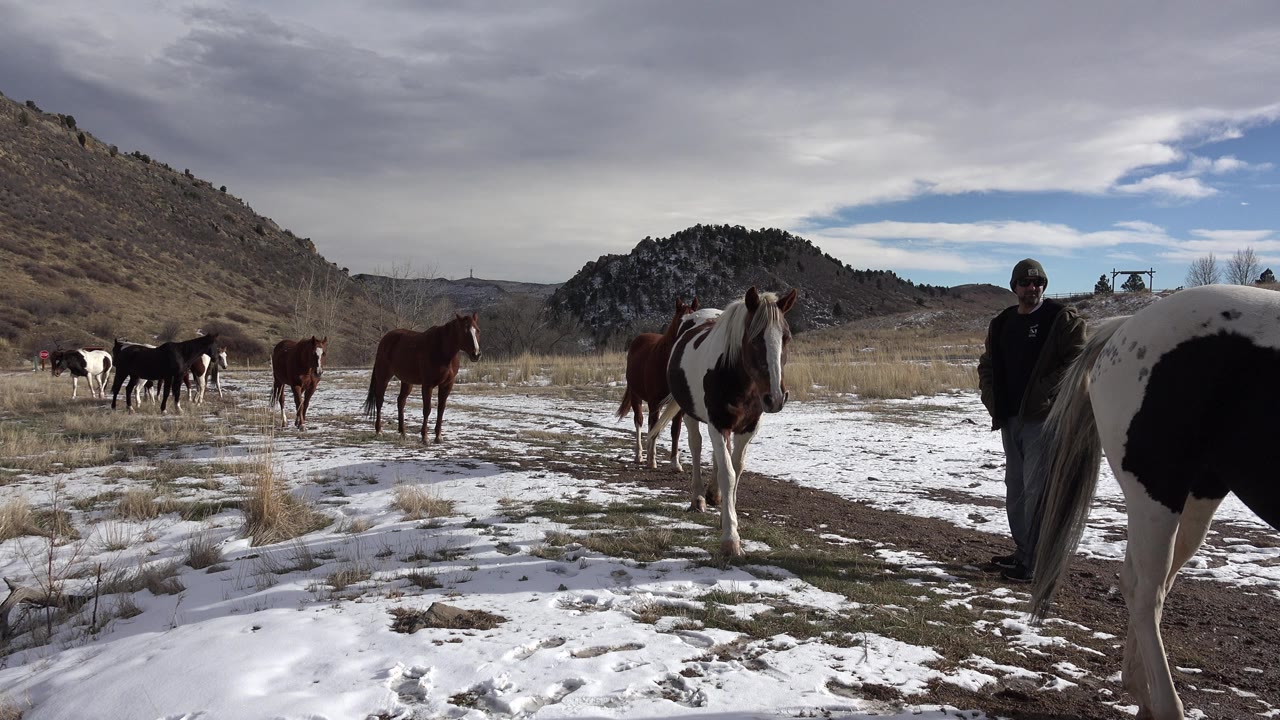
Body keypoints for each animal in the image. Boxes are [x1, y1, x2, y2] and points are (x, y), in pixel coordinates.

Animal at [363, 313, 481, 443]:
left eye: (477, 330)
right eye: (465, 331)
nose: (476, 354)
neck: (442, 350)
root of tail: (385, 340)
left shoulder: (447, 384)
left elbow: (441, 409)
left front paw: (438, 436)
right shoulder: (427, 385)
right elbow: (427, 409)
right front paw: (425, 437)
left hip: (407, 381)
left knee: (401, 401)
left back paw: (403, 433)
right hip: (383, 377)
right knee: (380, 401)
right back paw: (379, 431)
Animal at [616, 296, 700, 468]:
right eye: (680, 320)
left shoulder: (676, 405)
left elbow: (675, 431)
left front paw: (675, 463)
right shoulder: (654, 402)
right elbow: (653, 427)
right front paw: (652, 460)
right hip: (636, 396)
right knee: (640, 421)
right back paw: (640, 455)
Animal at [648, 287, 798, 557]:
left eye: (787, 337)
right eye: (755, 338)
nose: (776, 398)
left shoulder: (748, 428)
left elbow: (736, 469)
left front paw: (728, 517)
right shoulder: (717, 423)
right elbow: (728, 473)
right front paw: (731, 539)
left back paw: (714, 495)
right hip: (690, 414)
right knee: (696, 447)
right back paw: (698, 498)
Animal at [1031, 284, 1280, 720]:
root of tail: (1124, 328)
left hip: (1196, 495)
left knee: (1150, 584)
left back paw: (1141, 691)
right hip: (1156, 490)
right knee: (1145, 589)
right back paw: (1164, 703)